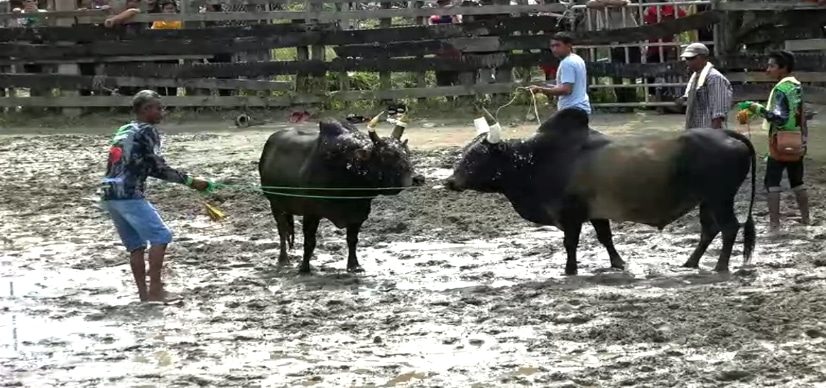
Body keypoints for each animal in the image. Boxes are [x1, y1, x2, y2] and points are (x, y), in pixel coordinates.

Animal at [258, 118, 422, 272]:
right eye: (386, 155)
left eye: (407, 152)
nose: (418, 178)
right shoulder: (311, 214)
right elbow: (309, 242)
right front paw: (304, 268)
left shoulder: (358, 215)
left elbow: (352, 240)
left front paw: (354, 265)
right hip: (275, 205)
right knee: (282, 230)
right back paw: (283, 259)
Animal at [444, 107, 752, 274]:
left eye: (477, 157)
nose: (450, 182)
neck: (533, 161)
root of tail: (726, 134)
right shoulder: (596, 213)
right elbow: (606, 238)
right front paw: (619, 263)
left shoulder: (571, 216)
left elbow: (570, 243)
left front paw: (570, 270)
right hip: (706, 201)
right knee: (710, 230)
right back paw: (690, 262)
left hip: (720, 199)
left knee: (729, 228)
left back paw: (720, 266)